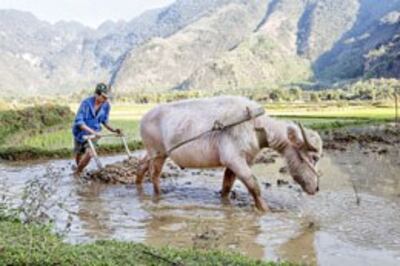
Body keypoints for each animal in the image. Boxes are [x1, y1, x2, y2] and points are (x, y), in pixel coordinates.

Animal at [137, 95, 322, 210]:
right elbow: (254, 186)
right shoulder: (234, 160)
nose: (317, 188)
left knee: (142, 165)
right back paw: (158, 196)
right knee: (154, 174)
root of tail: (144, 118)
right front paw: (265, 209)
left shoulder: (238, 163)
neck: (255, 126)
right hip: (158, 152)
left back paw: (138, 185)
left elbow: (226, 186)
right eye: (314, 157)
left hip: (154, 153)